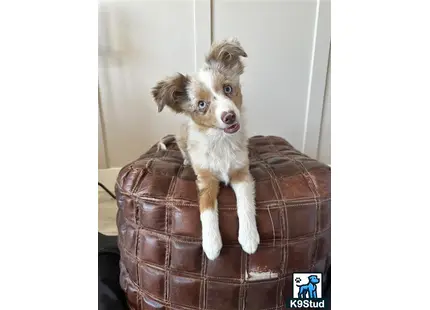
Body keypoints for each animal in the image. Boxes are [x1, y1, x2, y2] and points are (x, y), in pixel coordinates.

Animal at [151, 37, 258, 260]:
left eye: (228, 89)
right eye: (201, 104)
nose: (229, 117)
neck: (221, 140)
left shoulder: (242, 173)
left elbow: (245, 203)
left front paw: (249, 238)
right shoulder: (205, 180)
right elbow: (206, 210)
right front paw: (211, 245)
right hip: (181, 137)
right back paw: (185, 160)